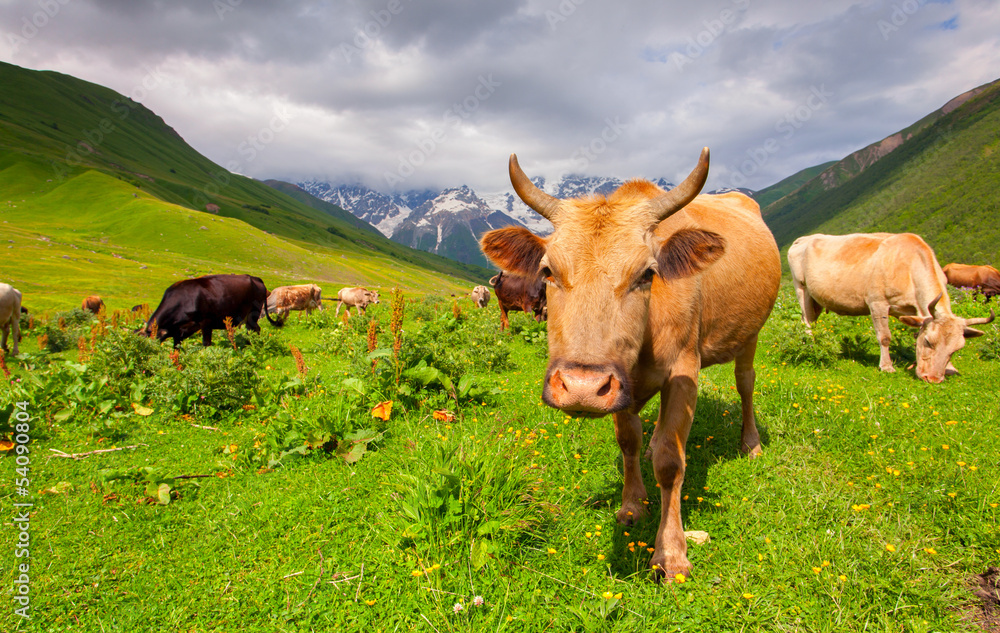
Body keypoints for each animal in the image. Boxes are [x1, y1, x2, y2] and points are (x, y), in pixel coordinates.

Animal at [137, 274, 278, 348]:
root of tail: (255, 278)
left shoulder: (206, 322)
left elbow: (206, 343)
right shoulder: (180, 330)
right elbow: (177, 346)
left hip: (253, 313)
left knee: (255, 329)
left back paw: (253, 344)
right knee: (252, 329)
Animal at [478, 147, 780, 576]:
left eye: (647, 273)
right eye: (548, 270)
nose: (581, 388)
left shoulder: (683, 371)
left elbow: (672, 461)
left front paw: (671, 553)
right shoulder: (619, 381)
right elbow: (629, 440)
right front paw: (632, 505)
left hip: (750, 333)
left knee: (746, 382)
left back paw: (750, 444)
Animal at [788, 231, 992, 380]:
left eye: (957, 349)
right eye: (928, 341)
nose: (933, 378)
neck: (910, 267)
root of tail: (804, 238)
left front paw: (950, 367)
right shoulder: (877, 303)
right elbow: (884, 337)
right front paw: (886, 366)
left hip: (816, 299)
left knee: (812, 321)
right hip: (802, 288)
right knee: (806, 322)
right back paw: (811, 345)